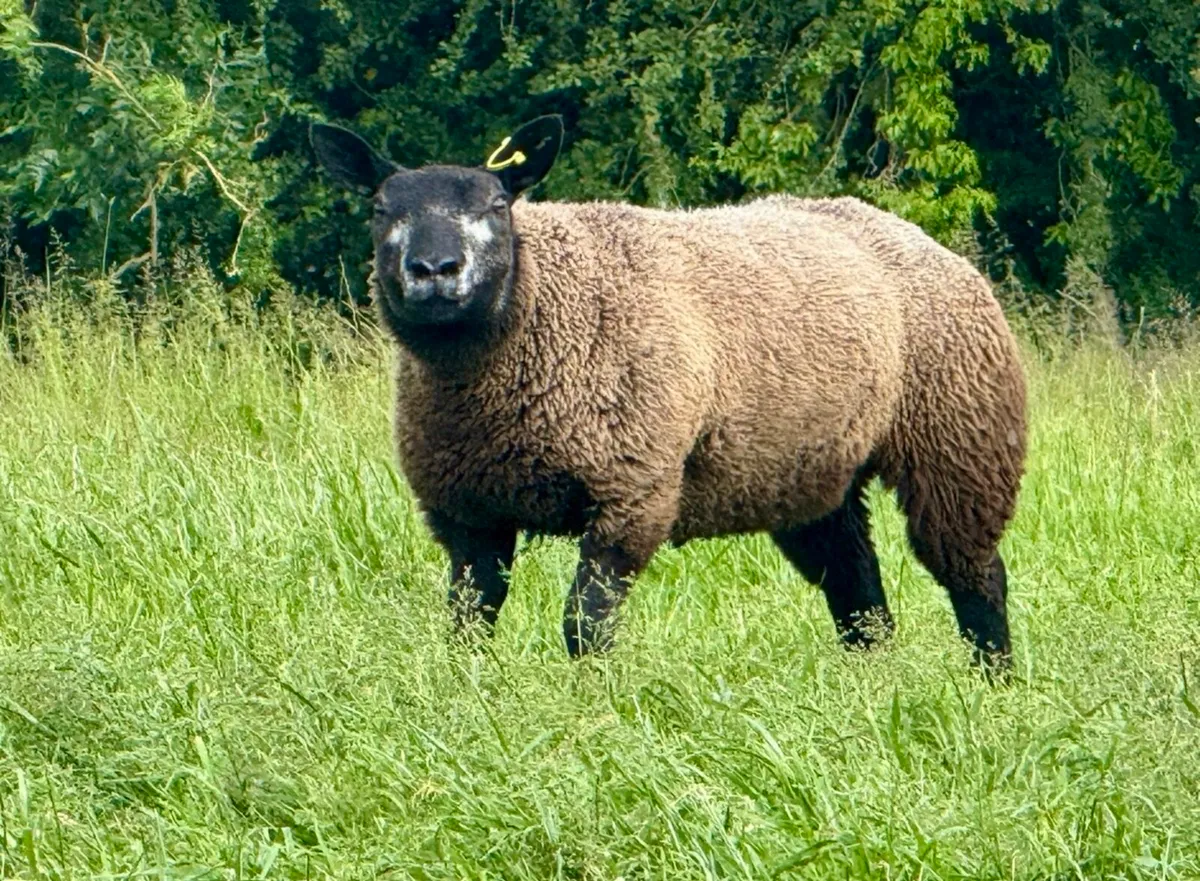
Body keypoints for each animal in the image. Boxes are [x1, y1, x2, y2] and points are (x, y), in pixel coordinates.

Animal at [310, 115, 1028, 676]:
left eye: (496, 206)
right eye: (380, 210)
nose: (435, 270)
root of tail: (915, 235)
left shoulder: (632, 492)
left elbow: (584, 627)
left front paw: (590, 707)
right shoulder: (469, 515)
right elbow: (466, 628)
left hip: (961, 440)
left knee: (975, 575)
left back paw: (994, 684)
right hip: (812, 474)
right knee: (859, 594)